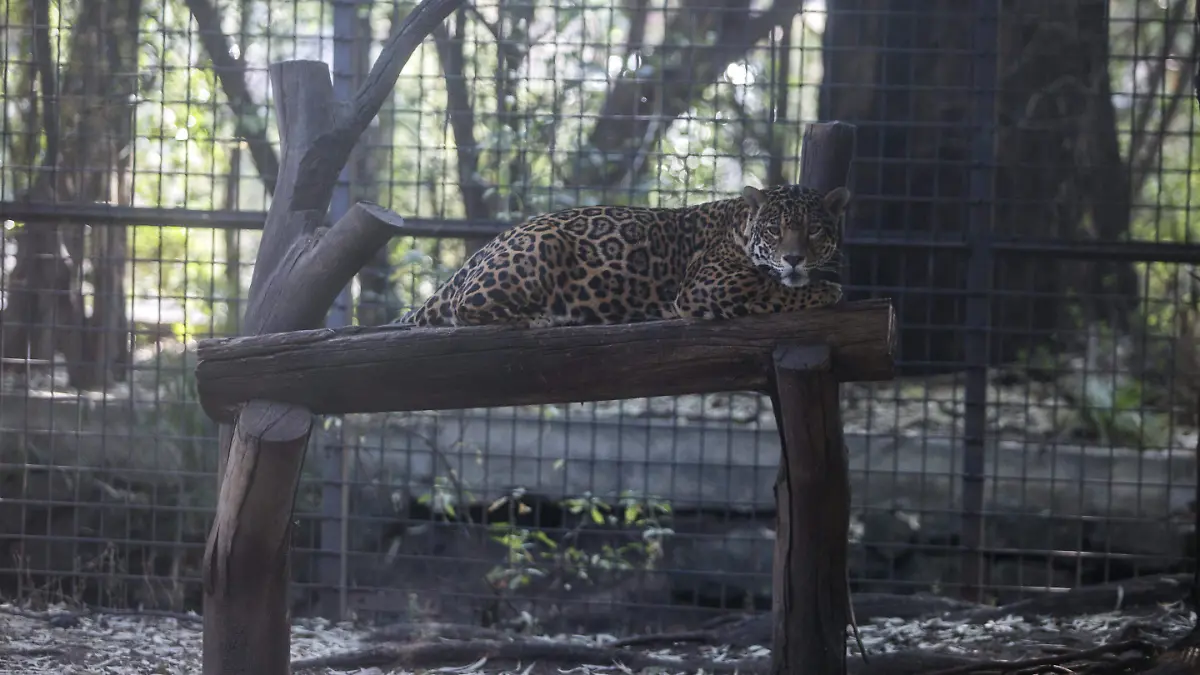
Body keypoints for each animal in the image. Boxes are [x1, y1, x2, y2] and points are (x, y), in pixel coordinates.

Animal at [397, 183, 851, 328]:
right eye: (775, 229)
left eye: (814, 229)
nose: (793, 258)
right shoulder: (710, 284)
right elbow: (777, 289)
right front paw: (828, 290)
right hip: (540, 246)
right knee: (465, 307)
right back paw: (542, 316)